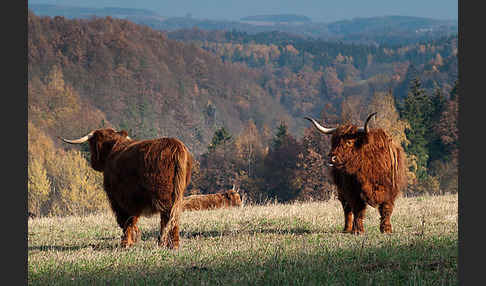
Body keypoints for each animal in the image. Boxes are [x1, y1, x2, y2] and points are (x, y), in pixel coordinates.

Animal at [58, 127, 192, 248]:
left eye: (92, 146)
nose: (93, 162)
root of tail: (176, 146)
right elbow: (132, 219)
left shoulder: (119, 199)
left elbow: (126, 220)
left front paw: (126, 243)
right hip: (177, 195)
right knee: (174, 217)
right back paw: (172, 244)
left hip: (164, 195)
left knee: (167, 217)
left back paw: (166, 243)